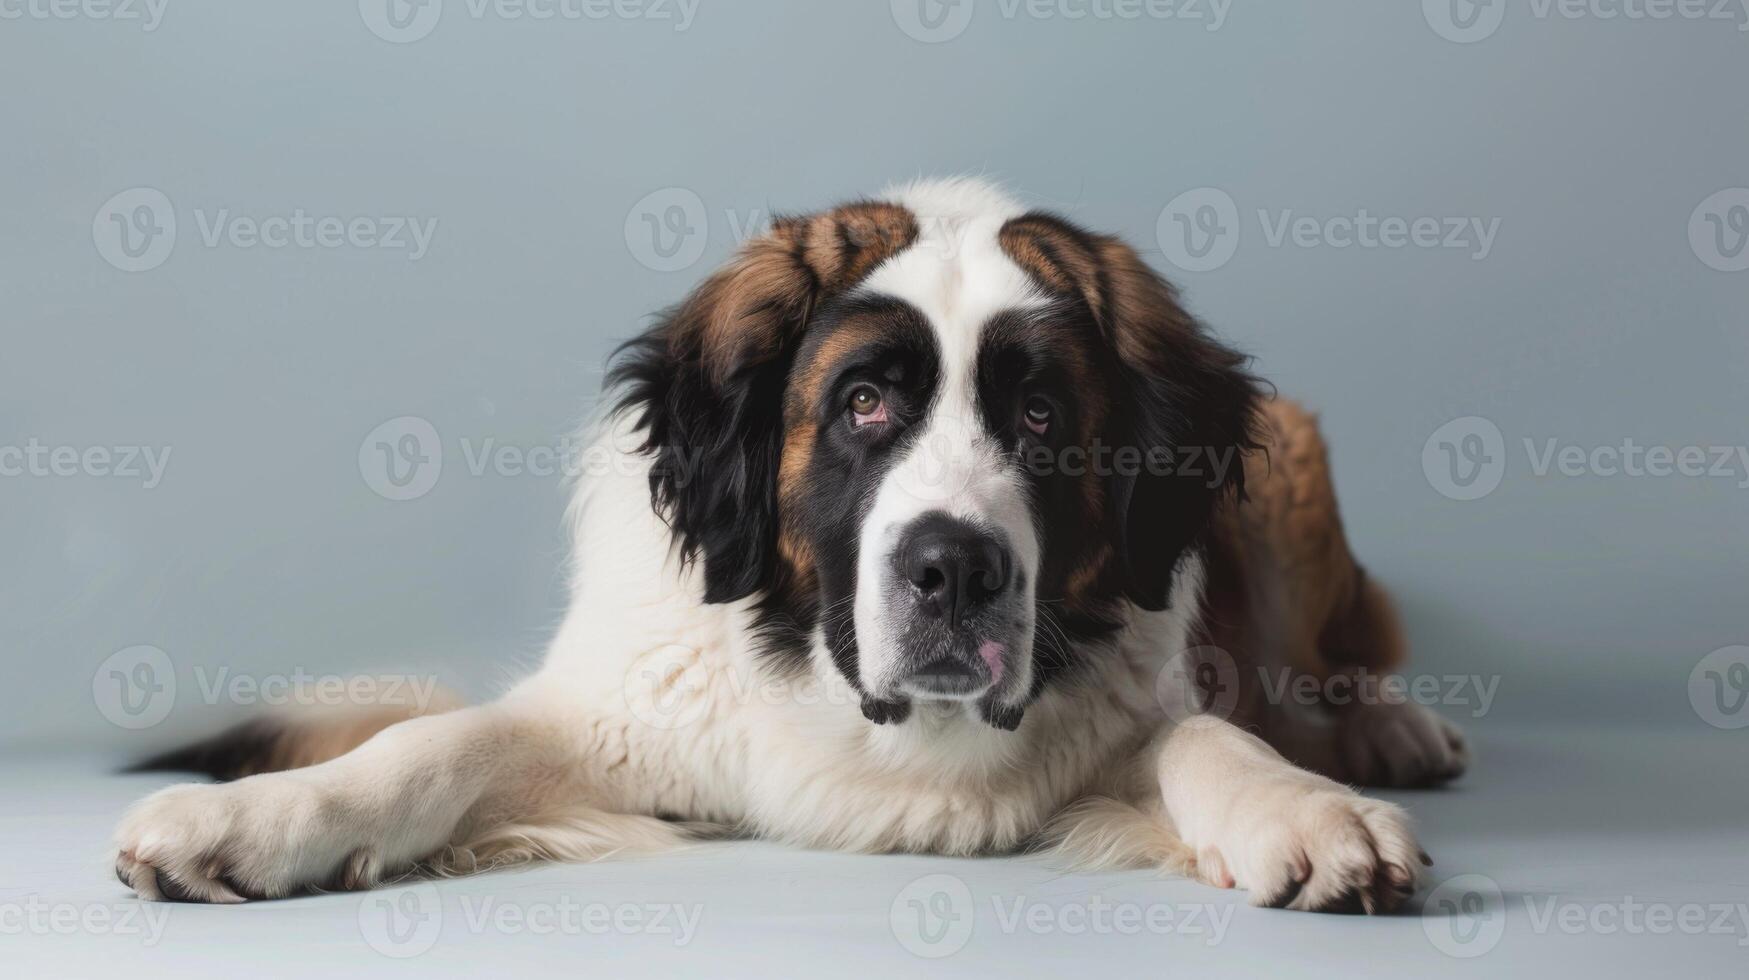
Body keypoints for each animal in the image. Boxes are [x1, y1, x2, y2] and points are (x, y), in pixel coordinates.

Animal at [116, 180, 1469, 917]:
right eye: (864, 402)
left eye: (1040, 417)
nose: (956, 569)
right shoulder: (628, 716)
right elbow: (430, 744)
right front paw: (253, 819)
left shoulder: (1120, 711)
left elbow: (1206, 734)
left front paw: (1312, 812)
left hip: (1292, 470)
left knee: (1327, 658)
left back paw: (1391, 732)